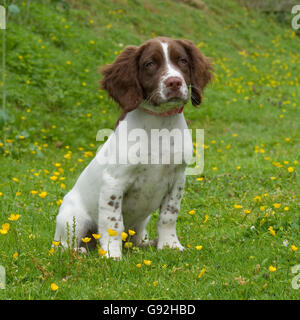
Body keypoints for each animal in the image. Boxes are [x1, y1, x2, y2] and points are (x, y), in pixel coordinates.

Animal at [54, 37, 213, 260]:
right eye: (150, 64)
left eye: (182, 60)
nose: (174, 82)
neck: (159, 126)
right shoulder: (114, 181)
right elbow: (113, 223)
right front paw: (111, 255)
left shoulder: (178, 178)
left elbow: (169, 215)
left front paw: (170, 245)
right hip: (72, 219)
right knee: (63, 246)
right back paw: (80, 251)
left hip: (140, 223)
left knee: (135, 239)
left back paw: (148, 244)